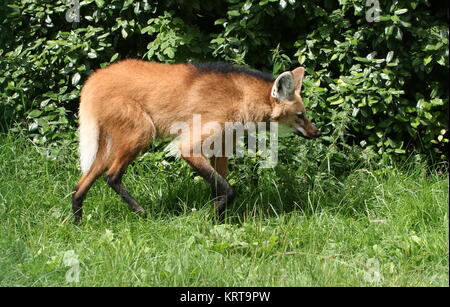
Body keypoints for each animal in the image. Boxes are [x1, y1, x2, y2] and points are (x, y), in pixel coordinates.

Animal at [72, 59, 322, 224]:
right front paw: (211, 216)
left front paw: (218, 222)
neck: (241, 99)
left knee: (79, 186)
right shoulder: (188, 146)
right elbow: (228, 188)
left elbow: (219, 186)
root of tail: (95, 78)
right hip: (142, 133)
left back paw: (77, 225)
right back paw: (141, 213)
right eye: (300, 115)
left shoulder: (221, 147)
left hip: (110, 146)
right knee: (111, 176)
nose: (317, 132)